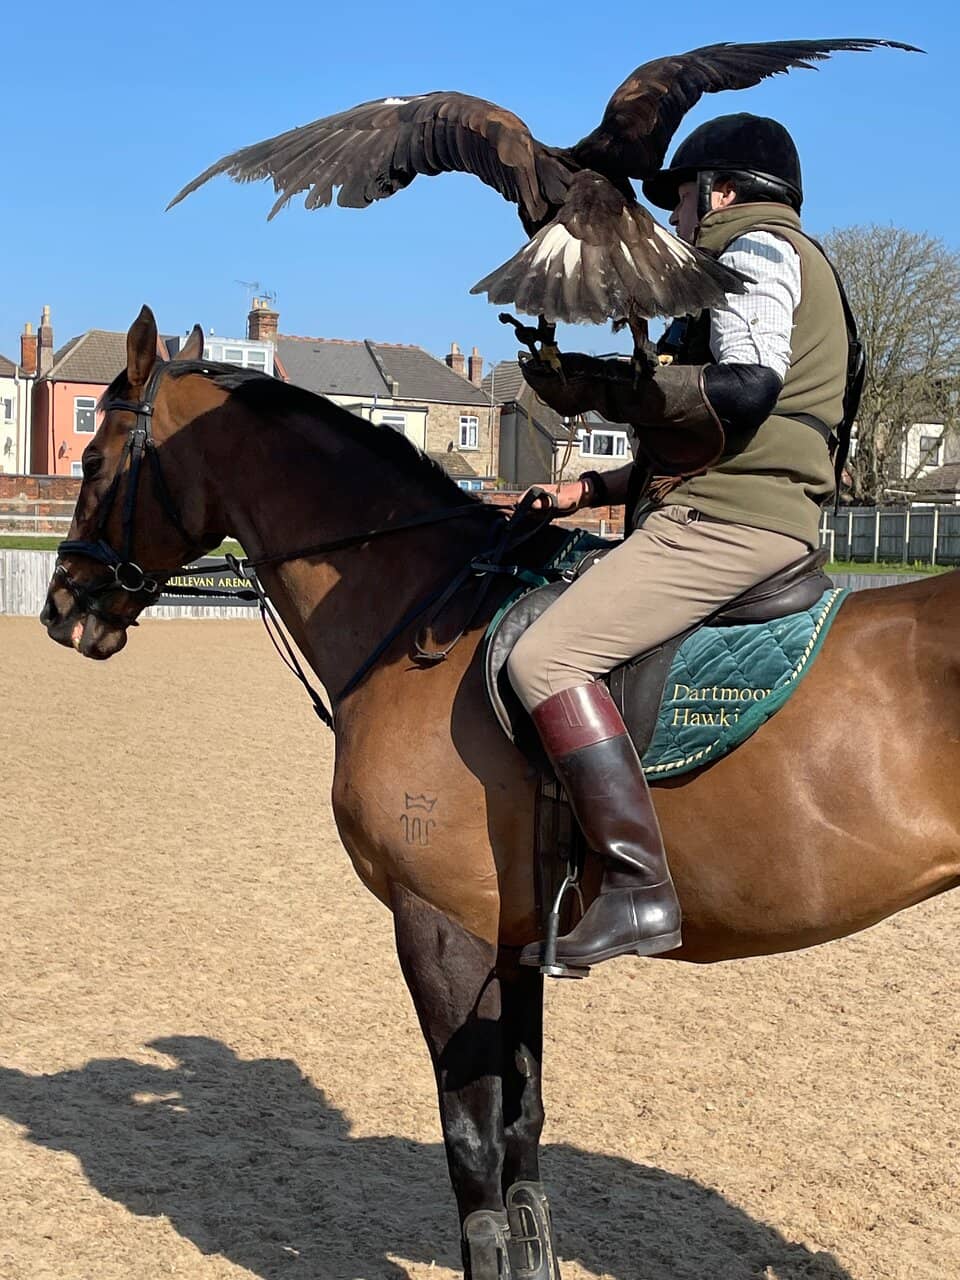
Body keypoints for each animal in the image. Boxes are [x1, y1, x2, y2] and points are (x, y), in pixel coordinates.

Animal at [41, 306, 960, 1279]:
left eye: (94, 461)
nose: (63, 607)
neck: (424, 609)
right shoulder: (519, 937)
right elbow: (523, 1126)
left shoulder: (443, 926)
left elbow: (472, 1139)